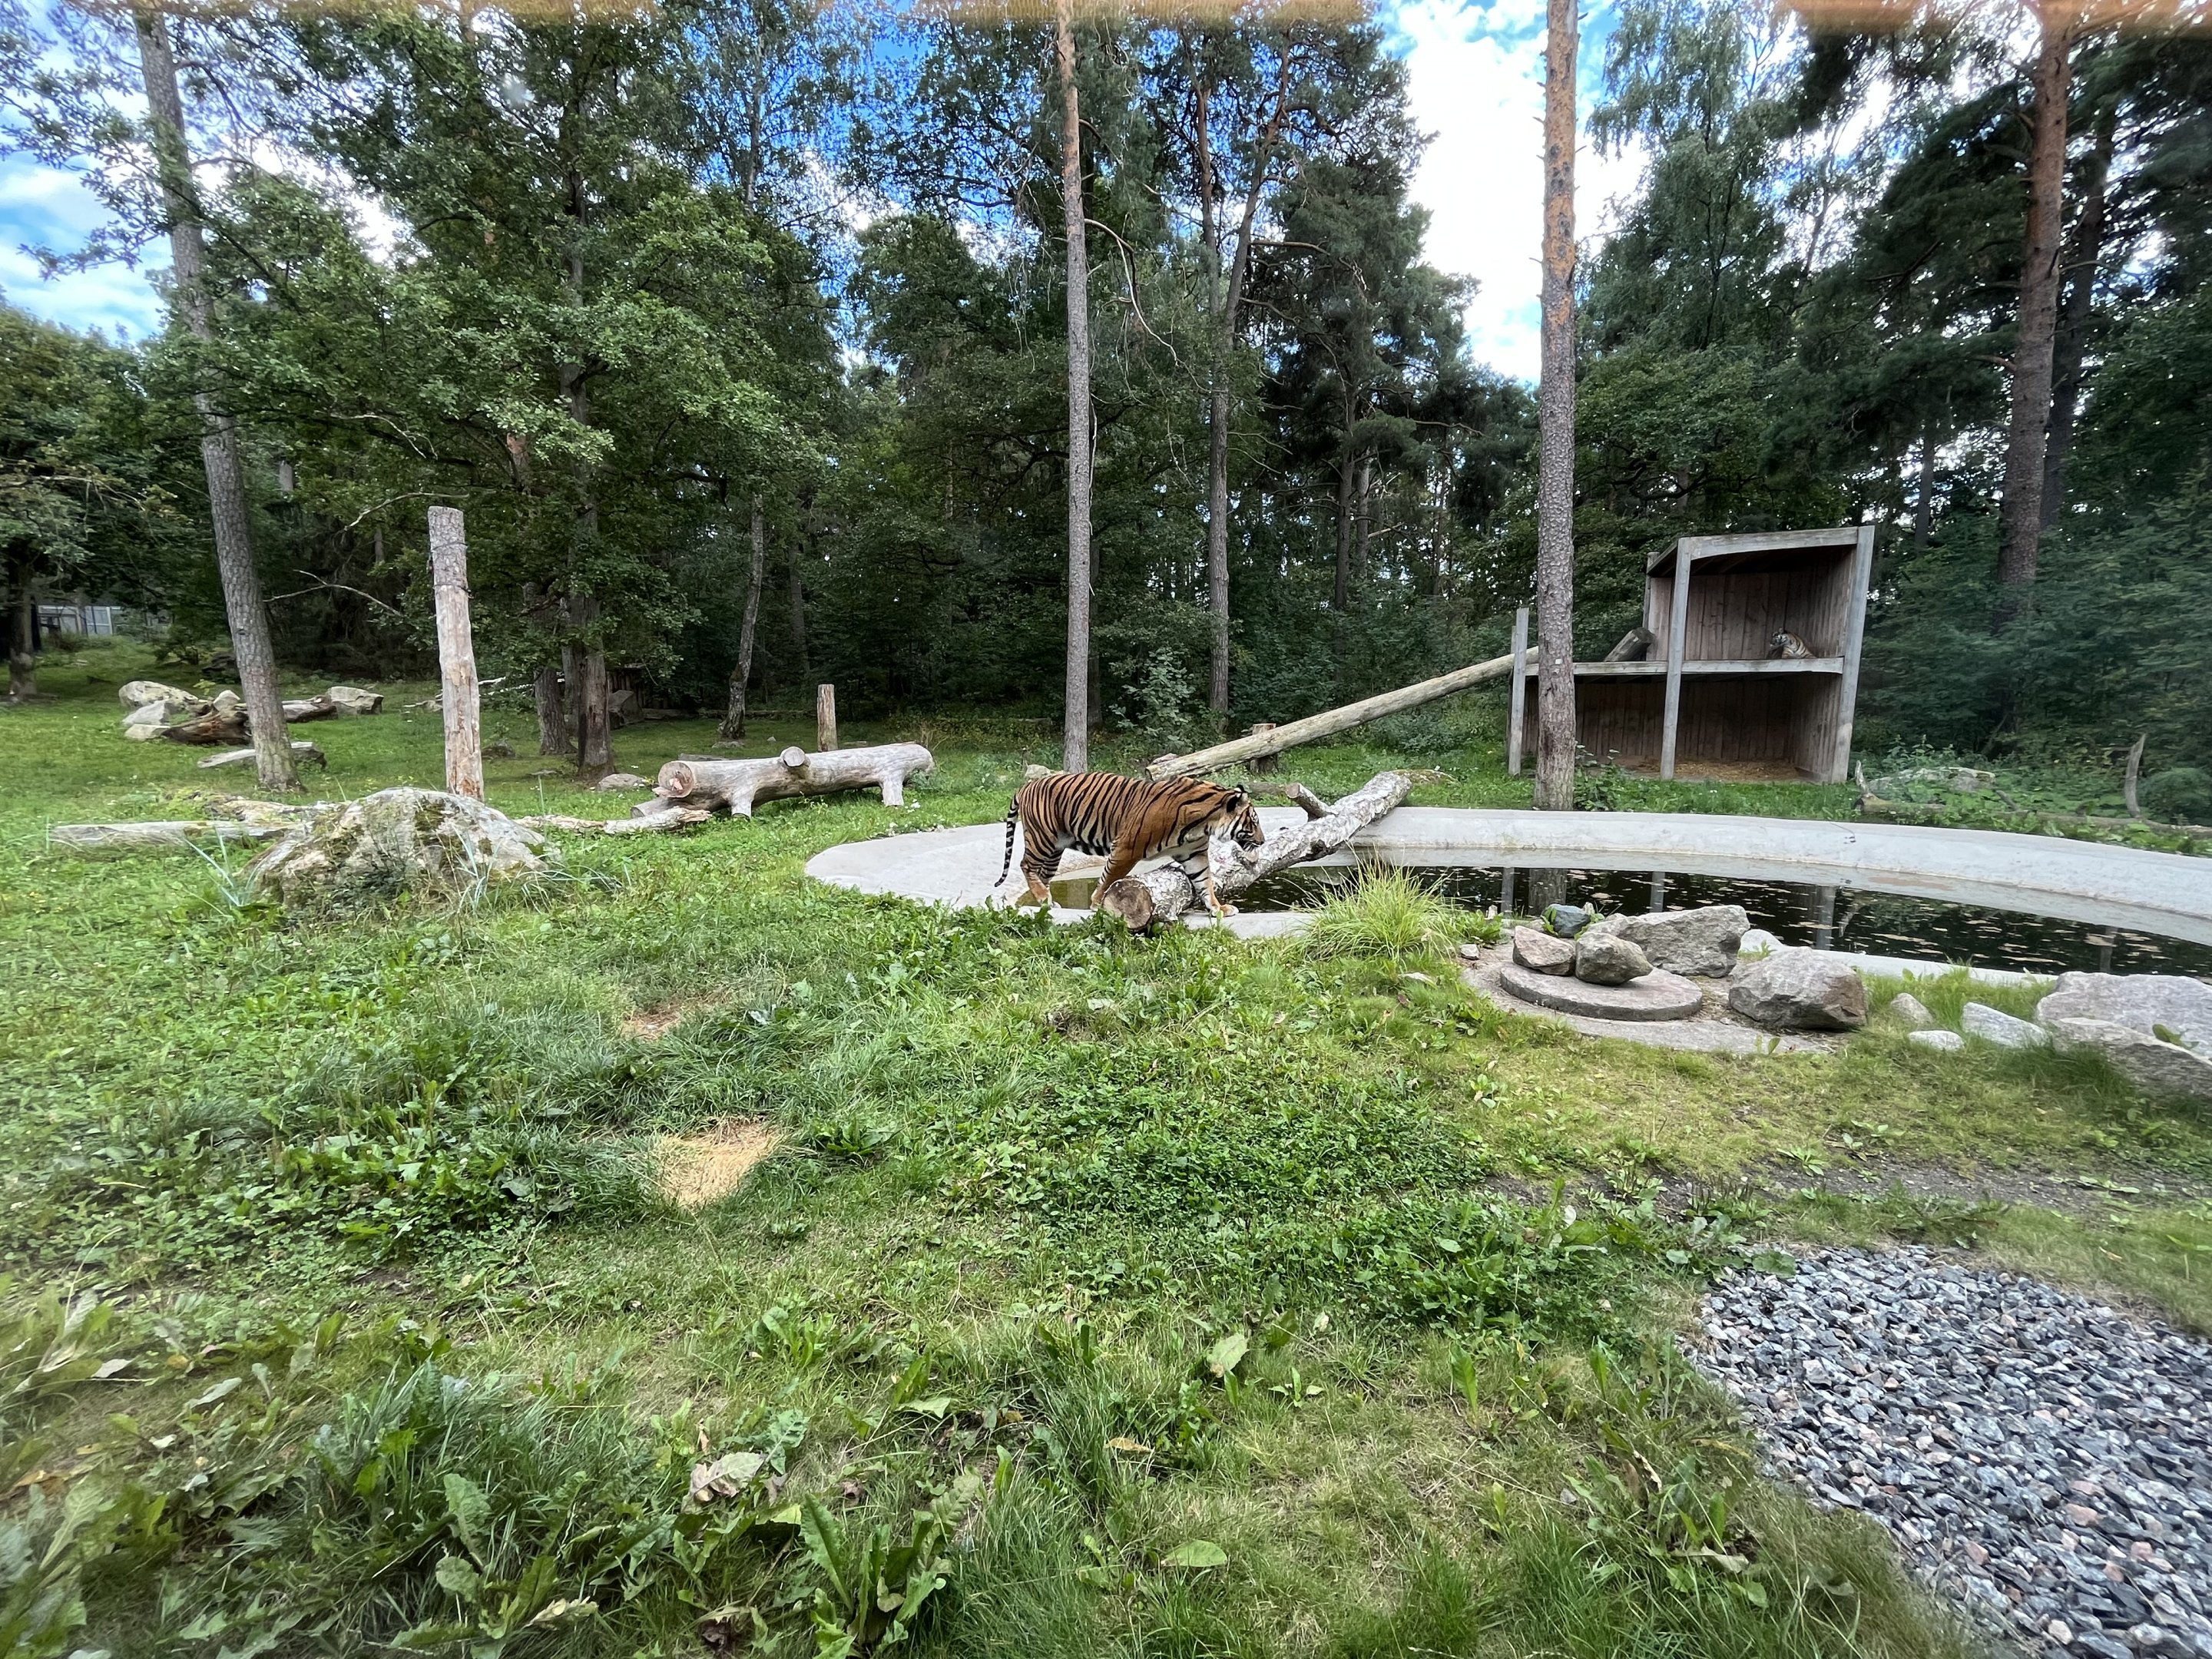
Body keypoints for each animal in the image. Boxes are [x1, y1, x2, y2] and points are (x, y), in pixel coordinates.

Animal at [994, 773, 1265, 915]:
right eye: (1253, 821)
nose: (1262, 841)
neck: (1204, 823)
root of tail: (1027, 785)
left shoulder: (1194, 854)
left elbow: (1205, 883)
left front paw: (1218, 909)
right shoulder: (1126, 849)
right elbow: (1109, 878)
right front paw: (1097, 905)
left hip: (1055, 850)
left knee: (1042, 874)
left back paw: (1047, 902)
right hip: (1043, 839)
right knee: (1026, 865)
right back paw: (1043, 897)